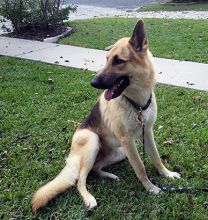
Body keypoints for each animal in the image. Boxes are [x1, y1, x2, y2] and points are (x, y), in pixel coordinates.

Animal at [31, 19, 180, 212]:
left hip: (120, 152)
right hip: (94, 141)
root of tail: (72, 158)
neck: (136, 103)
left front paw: (166, 174)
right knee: (80, 179)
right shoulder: (128, 141)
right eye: (107, 59)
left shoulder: (147, 133)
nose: (93, 82)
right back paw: (89, 198)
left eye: (118, 61)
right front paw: (151, 188)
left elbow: (155, 157)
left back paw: (110, 176)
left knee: (95, 169)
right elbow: (140, 167)